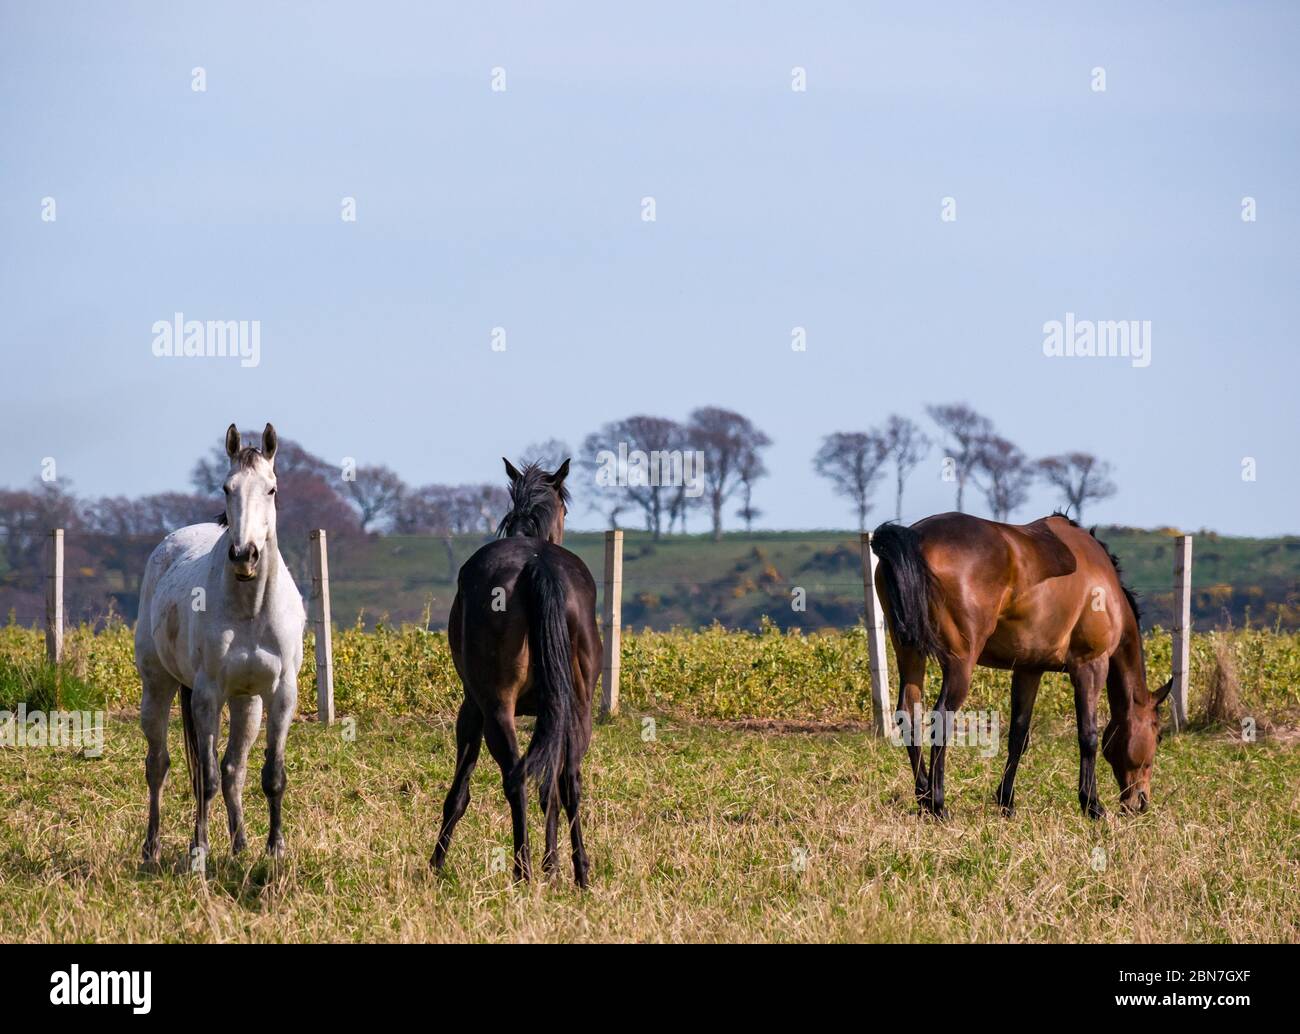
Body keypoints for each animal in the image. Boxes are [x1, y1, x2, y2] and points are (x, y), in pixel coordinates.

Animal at [135, 423, 306, 865]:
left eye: (271, 489)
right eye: (227, 488)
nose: (244, 555)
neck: (250, 609)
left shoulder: (281, 694)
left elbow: (271, 775)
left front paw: (275, 849)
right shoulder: (207, 695)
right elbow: (205, 777)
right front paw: (199, 851)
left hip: (248, 703)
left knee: (235, 770)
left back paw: (240, 843)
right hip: (157, 688)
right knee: (158, 765)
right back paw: (151, 847)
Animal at [432, 458, 601, 887]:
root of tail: (536, 565)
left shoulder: (471, 709)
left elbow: (459, 792)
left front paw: (435, 864)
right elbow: (551, 791)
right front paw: (552, 866)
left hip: (495, 708)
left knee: (516, 777)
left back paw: (521, 870)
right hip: (577, 708)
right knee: (568, 780)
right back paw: (579, 872)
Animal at [871, 511, 1172, 820]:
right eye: (1158, 735)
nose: (1140, 802)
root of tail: (915, 537)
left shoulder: (1029, 669)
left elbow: (1018, 735)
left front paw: (1007, 802)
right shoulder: (1090, 665)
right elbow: (1088, 735)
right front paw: (1091, 804)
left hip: (910, 653)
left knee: (908, 713)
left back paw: (923, 796)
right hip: (959, 664)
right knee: (941, 718)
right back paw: (938, 804)